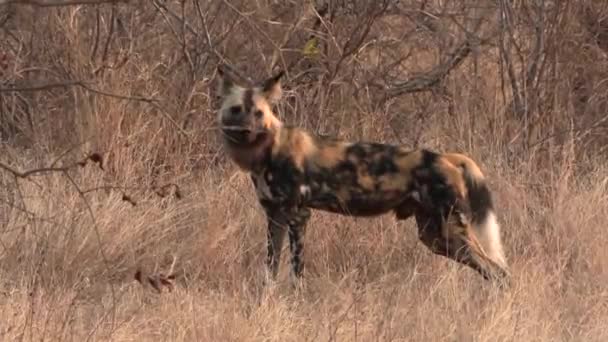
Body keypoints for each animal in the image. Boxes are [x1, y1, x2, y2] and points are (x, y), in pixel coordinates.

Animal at [216, 65, 510, 288]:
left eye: (259, 113)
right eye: (235, 110)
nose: (246, 131)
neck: (268, 150)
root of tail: (446, 157)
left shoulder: (298, 216)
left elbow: (296, 272)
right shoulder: (275, 216)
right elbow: (270, 271)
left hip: (450, 230)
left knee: (498, 271)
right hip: (436, 236)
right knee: (493, 271)